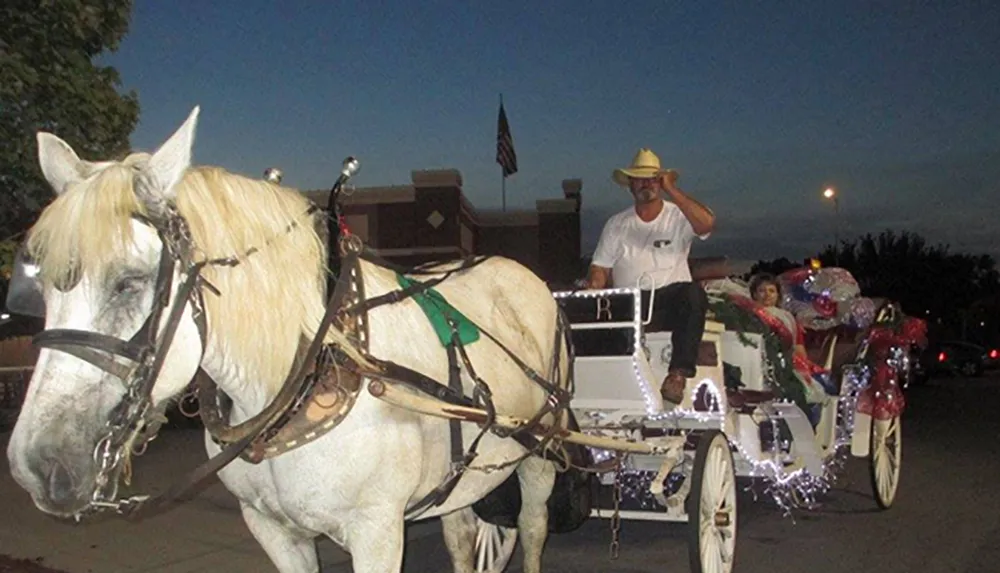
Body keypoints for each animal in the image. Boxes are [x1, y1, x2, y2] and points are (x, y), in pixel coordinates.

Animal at [5, 107, 572, 572]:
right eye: (39, 287)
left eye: (130, 281)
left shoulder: (377, 532)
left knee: (532, 528)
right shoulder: (273, 531)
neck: (306, 376)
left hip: (543, 451)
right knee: (461, 532)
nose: (36, 464)